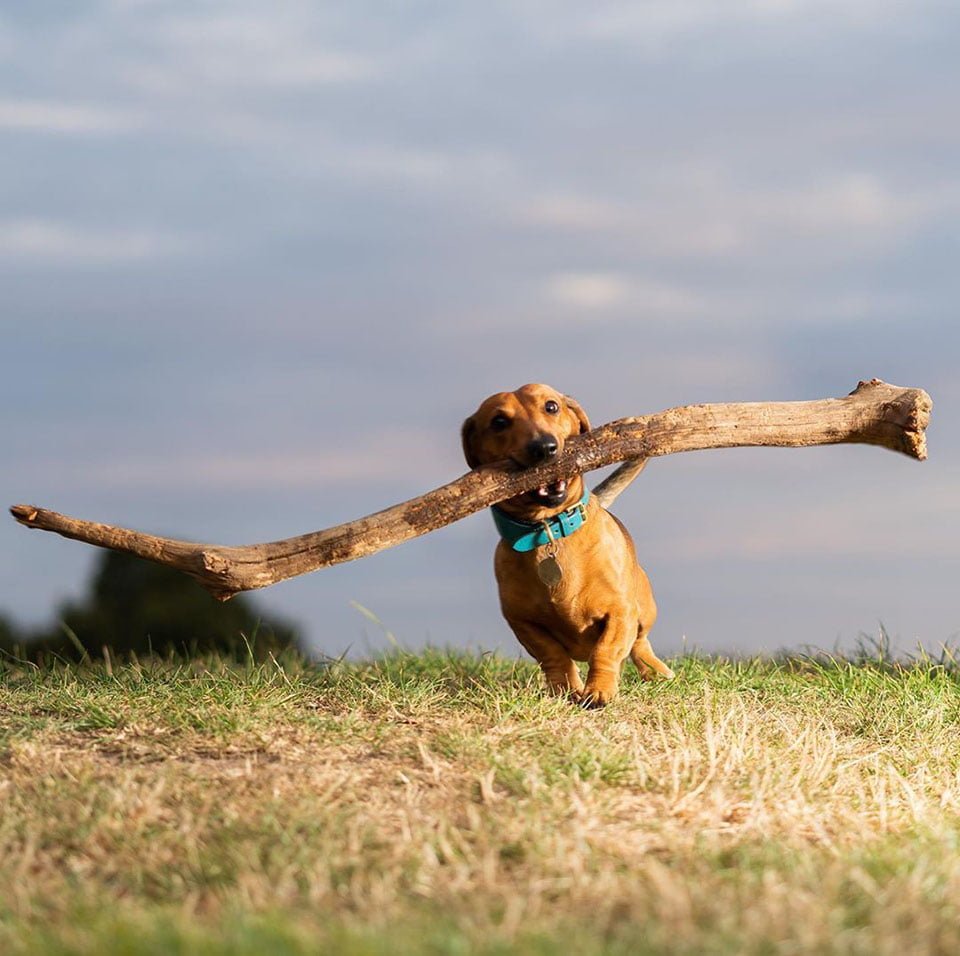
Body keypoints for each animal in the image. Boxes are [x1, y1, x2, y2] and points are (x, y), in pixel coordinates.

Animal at [462, 384, 672, 704]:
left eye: (551, 406)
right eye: (498, 422)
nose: (544, 448)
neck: (548, 531)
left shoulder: (620, 612)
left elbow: (606, 650)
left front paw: (599, 691)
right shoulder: (522, 622)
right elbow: (553, 656)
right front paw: (565, 690)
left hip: (645, 609)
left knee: (639, 642)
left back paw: (656, 671)